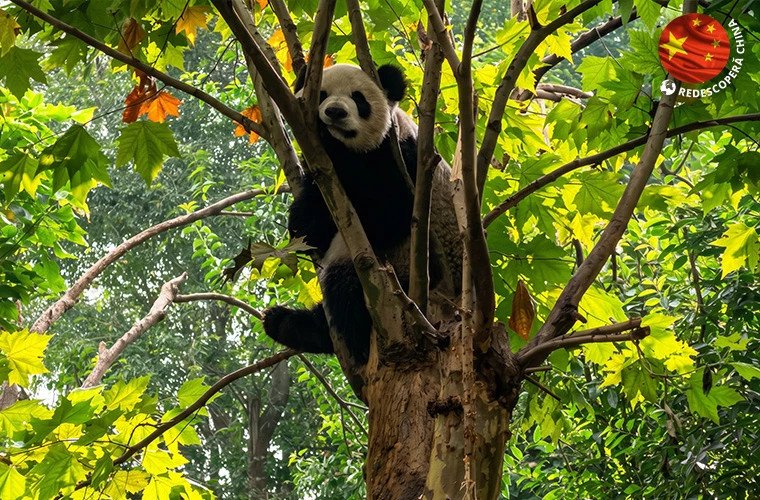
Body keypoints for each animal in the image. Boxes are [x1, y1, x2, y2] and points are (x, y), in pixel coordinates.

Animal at [262, 63, 460, 365]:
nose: (335, 112)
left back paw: (351, 340)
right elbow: (308, 226)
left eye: (359, 99)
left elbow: (392, 211)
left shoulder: (405, 159)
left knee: (344, 284)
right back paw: (284, 323)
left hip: (410, 272)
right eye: (321, 95)